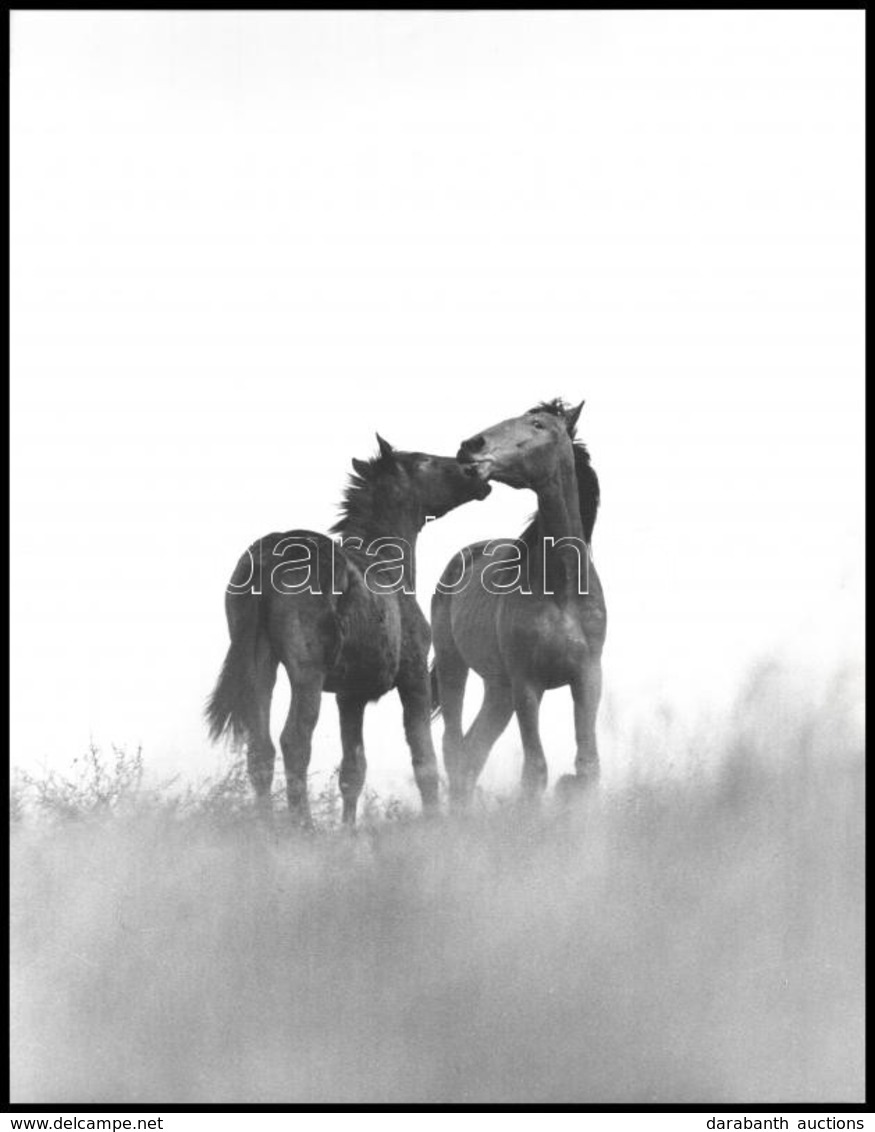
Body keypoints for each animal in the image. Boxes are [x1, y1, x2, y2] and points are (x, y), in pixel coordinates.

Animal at [432, 402, 606, 801]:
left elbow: (588, 765)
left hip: (498, 691)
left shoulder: (588, 677)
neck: (562, 592)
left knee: (472, 752)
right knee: (454, 749)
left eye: (538, 424)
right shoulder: (528, 684)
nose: (471, 446)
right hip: (454, 668)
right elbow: (535, 771)